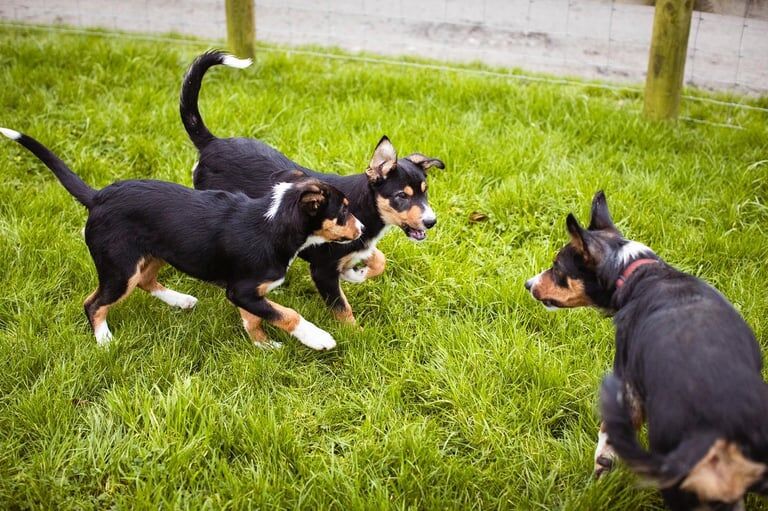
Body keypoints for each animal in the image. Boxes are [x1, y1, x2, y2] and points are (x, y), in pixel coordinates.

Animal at [1, 126, 362, 350]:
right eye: (343, 210)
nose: (360, 229)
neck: (274, 222)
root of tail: (98, 196)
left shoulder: (246, 292)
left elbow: (254, 318)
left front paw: (264, 346)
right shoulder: (243, 289)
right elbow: (286, 314)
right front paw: (318, 338)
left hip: (156, 253)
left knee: (145, 281)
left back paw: (181, 301)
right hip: (119, 268)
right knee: (94, 303)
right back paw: (104, 340)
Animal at [179, 51, 444, 324]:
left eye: (425, 192)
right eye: (402, 196)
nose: (431, 222)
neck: (365, 207)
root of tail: (212, 142)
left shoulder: (359, 242)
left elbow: (379, 259)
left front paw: (355, 273)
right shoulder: (322, 269)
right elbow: (343, 310)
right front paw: (353, 331)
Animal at [524, 193, 768, 511]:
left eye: (556, 268)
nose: (528, 284)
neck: (636, 272)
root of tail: (716, 430)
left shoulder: (626, 384)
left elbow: (607, 438)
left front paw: (602, 468)